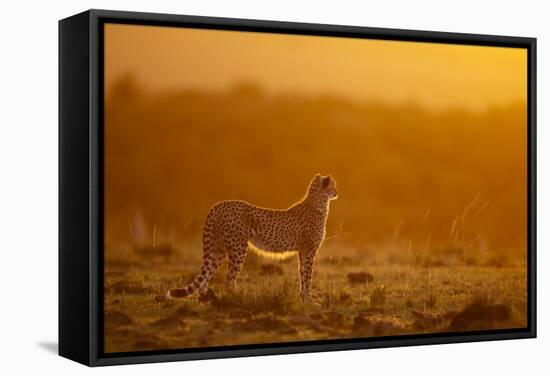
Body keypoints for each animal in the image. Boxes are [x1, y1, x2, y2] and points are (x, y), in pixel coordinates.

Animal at [168, 175, 338, 302]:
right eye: (333, 186)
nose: (337, 192)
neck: (318, 203)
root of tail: (218, 205)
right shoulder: (309, 251)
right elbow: (308, 275)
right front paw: (309, 299)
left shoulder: (302, 251)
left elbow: (302, 273)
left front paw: (303, 297)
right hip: (238, 249)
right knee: (229, 280)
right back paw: (235, 298)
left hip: (218, 249)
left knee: (207, 274)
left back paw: (206, 298)